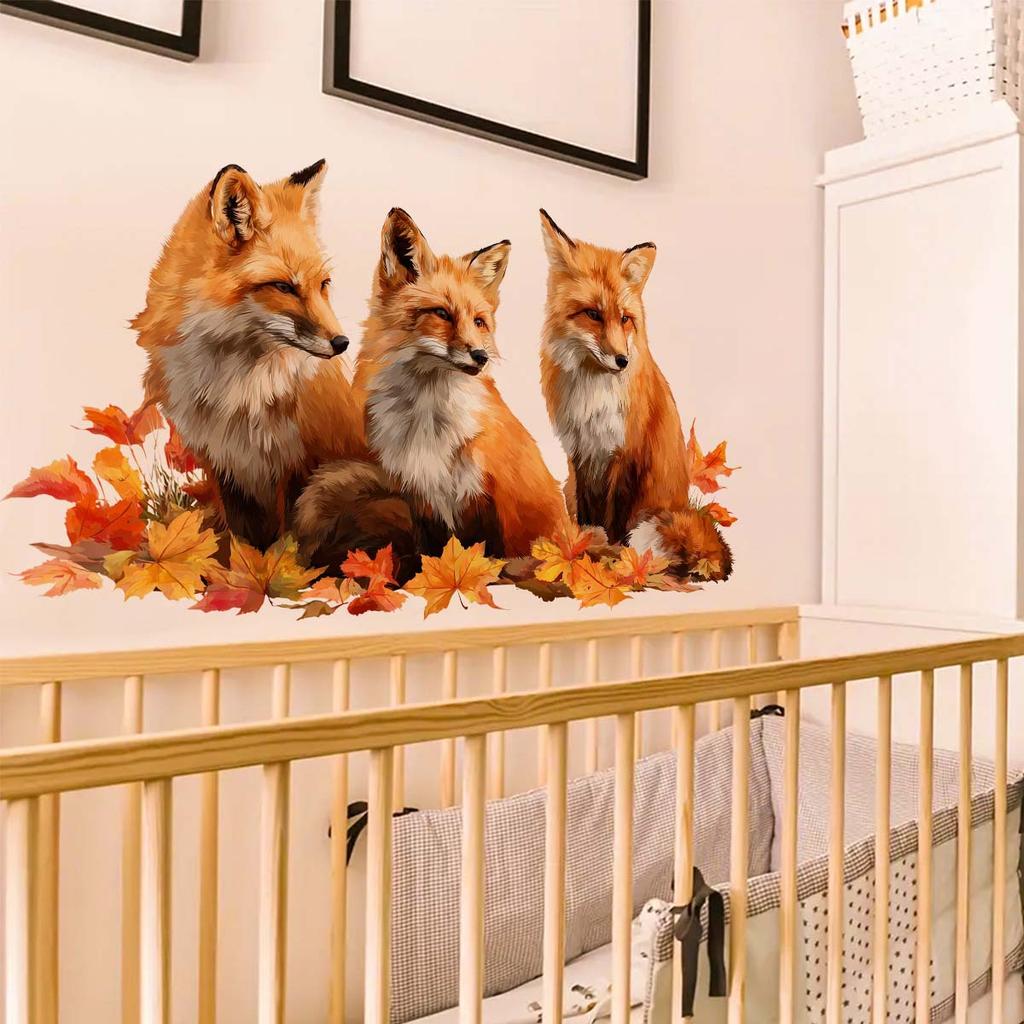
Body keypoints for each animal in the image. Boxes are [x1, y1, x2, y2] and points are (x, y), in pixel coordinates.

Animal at [134, 159, 365, 550]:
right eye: (284, 287)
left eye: (323, 285)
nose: (342, 343)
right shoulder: (222, 463)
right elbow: (239, 539)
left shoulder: (299, 463)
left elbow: (288, 542)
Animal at [296, 207, 566, 572]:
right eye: (441, 314)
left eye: (479, 322)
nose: (480, 356)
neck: (428, 420)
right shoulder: (418, 495)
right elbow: (430, 551)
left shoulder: (490, 492)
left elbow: (492, 549)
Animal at [538, 210, 731, 581]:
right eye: (593, 314)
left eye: (625, 319)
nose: (622, 360)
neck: (593, 393)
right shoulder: (579, 451)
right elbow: (586, 512)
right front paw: (584, 544)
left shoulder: (627, 453)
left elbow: (615, 517)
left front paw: (616, 554)